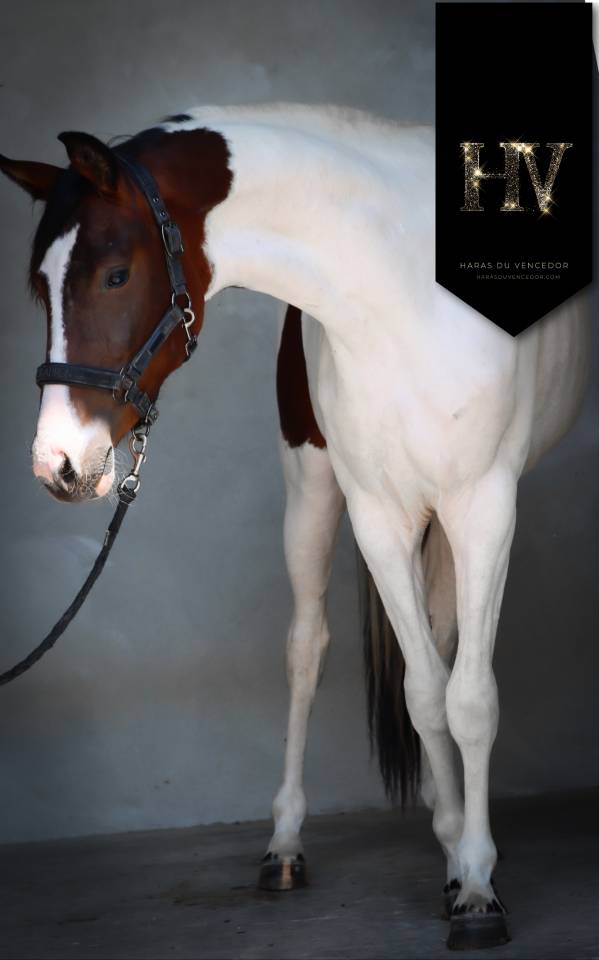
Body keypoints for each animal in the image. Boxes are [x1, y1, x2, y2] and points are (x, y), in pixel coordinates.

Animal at [0, 105, 590, 951]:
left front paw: (476, 886)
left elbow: (469, 698)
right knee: (308, 649)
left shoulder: (484, 505)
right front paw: (460, 858)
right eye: (39, 287)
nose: (58, 464)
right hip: (313, 488)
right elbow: (422, 693)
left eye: (114, 275)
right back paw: (287, 844)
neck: (405, 295)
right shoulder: (377, 511)